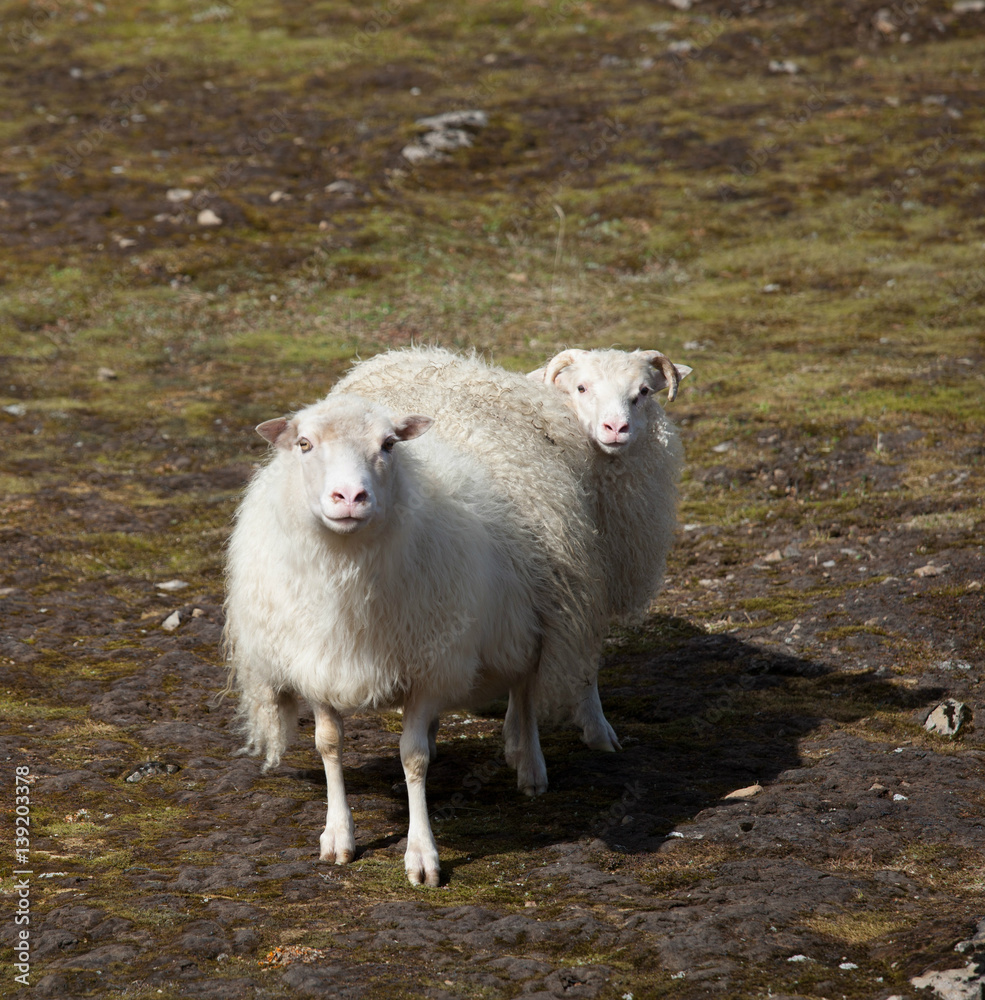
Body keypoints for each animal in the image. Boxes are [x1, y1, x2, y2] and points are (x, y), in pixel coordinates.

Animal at [225, 392, 560, 887]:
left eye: (388, 444)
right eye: (304, 443)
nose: (350, 496)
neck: (347, 568)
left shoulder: (428, 667)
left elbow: (413, 758)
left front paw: (422, 854)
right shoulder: (317, 663)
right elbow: (329, 744)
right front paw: (338, 835)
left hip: (518, 624)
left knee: (526, 687)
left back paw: (531, 766)